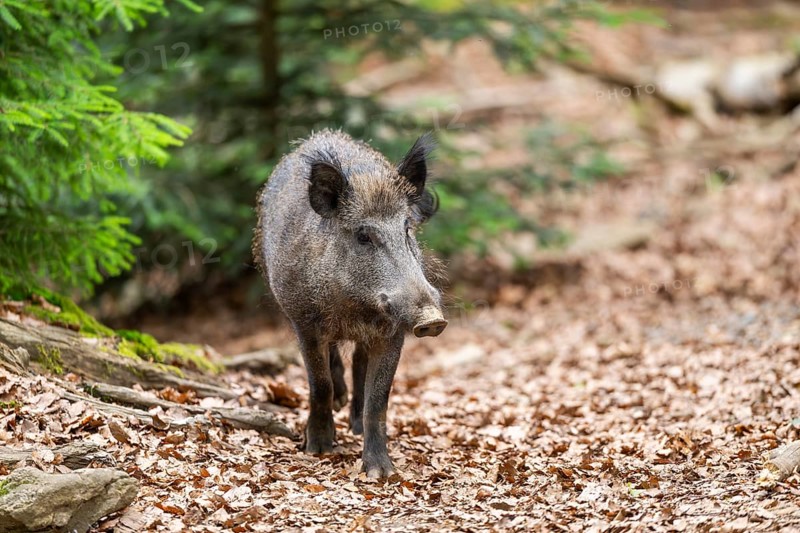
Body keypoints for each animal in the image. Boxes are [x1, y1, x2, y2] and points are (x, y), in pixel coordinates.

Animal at [253, 129, 447, 478]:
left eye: (407, 229)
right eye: (363, 236)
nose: (432, 320)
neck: (355, 307)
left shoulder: (392, 333)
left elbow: (378, 401)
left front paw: (381, 472)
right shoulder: (303, 322)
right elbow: (319, 384)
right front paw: (317, 449)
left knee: (358, 360)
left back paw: (354, 423)